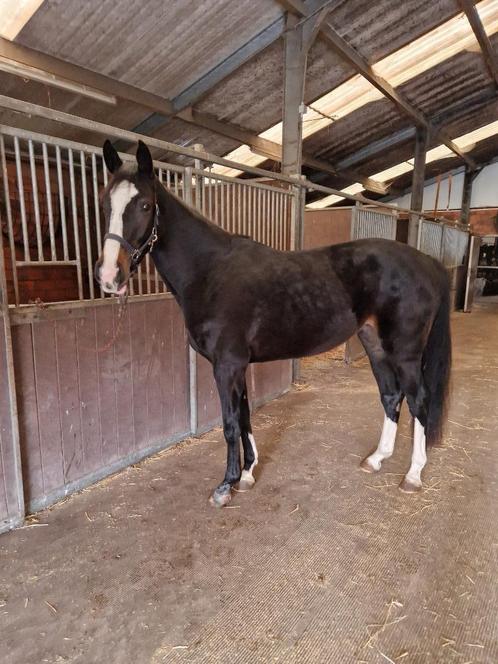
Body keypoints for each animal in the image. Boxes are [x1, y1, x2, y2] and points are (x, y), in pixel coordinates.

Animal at [96, 143, 452, 508]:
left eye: (144, 204)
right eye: (105, 203)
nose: (109, 276)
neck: (210, 272)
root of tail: (427, 262)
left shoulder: (227, 365)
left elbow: (230, 423)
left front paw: (225, 486)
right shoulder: (237, 365)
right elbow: (244, 415)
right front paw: (247, 474)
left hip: (405, 352)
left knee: (419, 402)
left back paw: (413, 475)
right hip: (375, 344)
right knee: (391, 395)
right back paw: (377, 459)